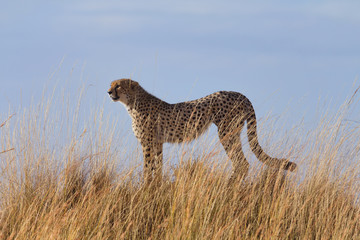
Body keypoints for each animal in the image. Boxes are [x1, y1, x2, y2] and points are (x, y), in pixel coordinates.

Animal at [108, 79, 296, 183]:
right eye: (111, 85)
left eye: (119, 86)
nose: (109, 92)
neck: (132, 102)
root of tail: (239, 94)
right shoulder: (158, 143)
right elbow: (158, 166)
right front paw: (156, 186)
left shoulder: (147, 143)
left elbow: (147, 167)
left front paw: (145, 187)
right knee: (242, 163)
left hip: (226, 131)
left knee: (242, 163)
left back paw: (228, 186)